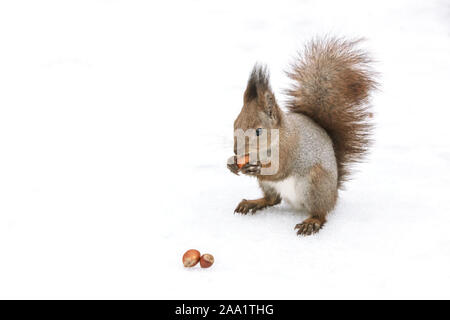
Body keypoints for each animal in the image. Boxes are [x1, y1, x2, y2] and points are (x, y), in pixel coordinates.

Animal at [227, 38, 378, 238]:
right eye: (235, 124)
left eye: (259, 131)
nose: (236, 151)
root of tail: (333, 194)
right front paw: (231, 163)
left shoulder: (289, 151)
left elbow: (280, 171)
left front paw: (255, 167)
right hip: (269, 185)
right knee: (273, 199)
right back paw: (253, 203)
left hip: (316, 184)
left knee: (321, 213)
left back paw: (312, 222)